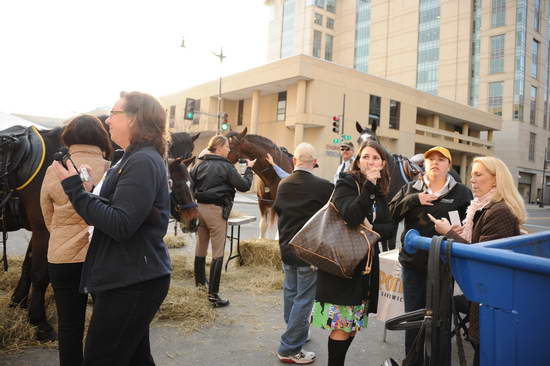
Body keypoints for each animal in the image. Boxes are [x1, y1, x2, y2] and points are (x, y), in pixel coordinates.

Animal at [1, 126, 199, 340]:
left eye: (191, 181)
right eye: (175, 184)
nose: (194, 221)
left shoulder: (43, 230)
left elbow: (28, 267)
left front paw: (18, 302)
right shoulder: (43, 231)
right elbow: (39, 273)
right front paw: (39, 322)